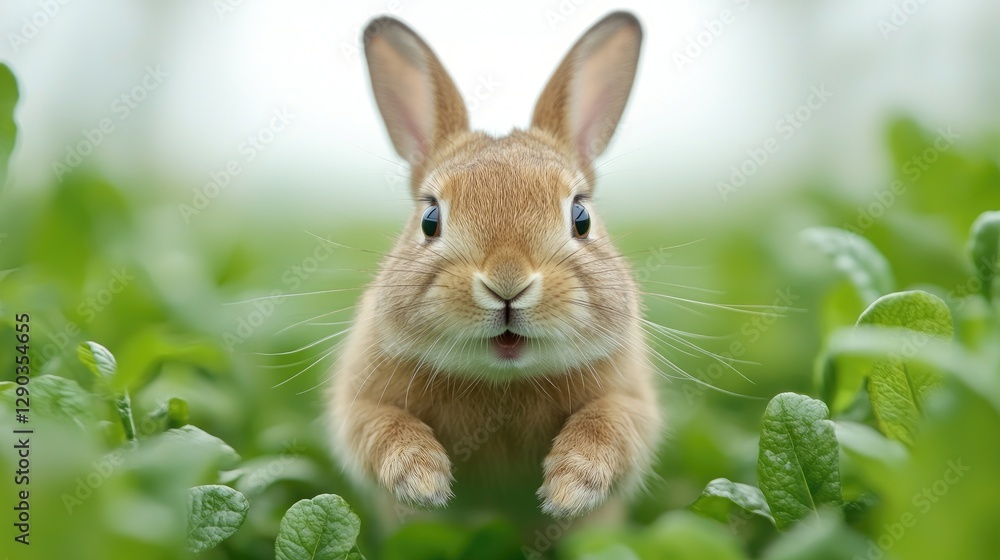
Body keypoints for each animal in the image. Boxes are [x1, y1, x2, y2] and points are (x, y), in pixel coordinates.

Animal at [327, 11, 662, 529]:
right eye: (430, 218)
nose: (508, 283)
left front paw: (568, 489)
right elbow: (381, 429)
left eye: (580, 217)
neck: (502, 379)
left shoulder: (630, 402)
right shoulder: (362, 403)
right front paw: (423, 481)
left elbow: (609, 424)